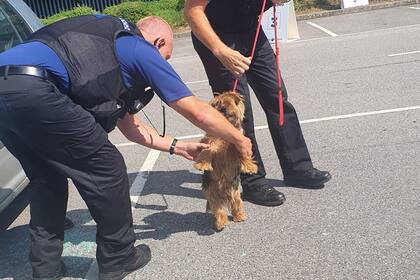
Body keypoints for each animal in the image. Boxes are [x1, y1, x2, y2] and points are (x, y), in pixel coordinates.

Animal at [193, 93, 256, 231]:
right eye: (217, 104)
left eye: (228, 102)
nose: (222, 109)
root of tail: (224, 193)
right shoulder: (210, 139)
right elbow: (208, 149)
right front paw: (202, 164)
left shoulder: (237, 144)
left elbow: (242, 151)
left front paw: (250, 166)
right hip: (212, 195)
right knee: (219, 210)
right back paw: (220, 223)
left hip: (235, 193)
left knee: (236, 204)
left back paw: (240, 216)